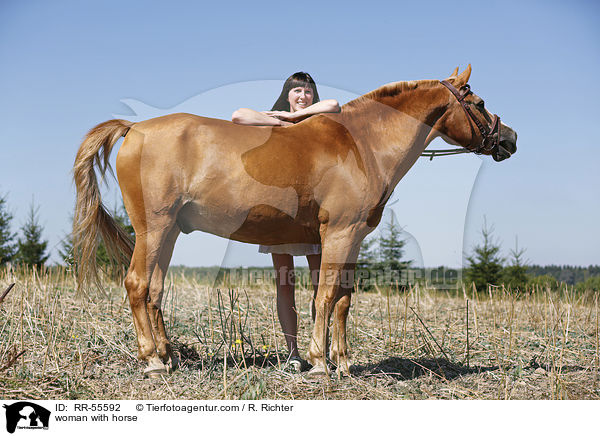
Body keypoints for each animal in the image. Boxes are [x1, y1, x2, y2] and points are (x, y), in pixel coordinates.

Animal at [74, 65, 516, 378]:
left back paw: (168, 357)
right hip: (154, 228)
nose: (509, 138)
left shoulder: (351, 239)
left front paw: (344, 362)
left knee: (155, 290)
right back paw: (151, 360)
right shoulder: (339, 232)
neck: (361, 144)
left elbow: (343, 299)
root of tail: (135, 128)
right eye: (478, 103)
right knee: (137, 284)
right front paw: (320, 363)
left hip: (169, 233)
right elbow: (325, 295)